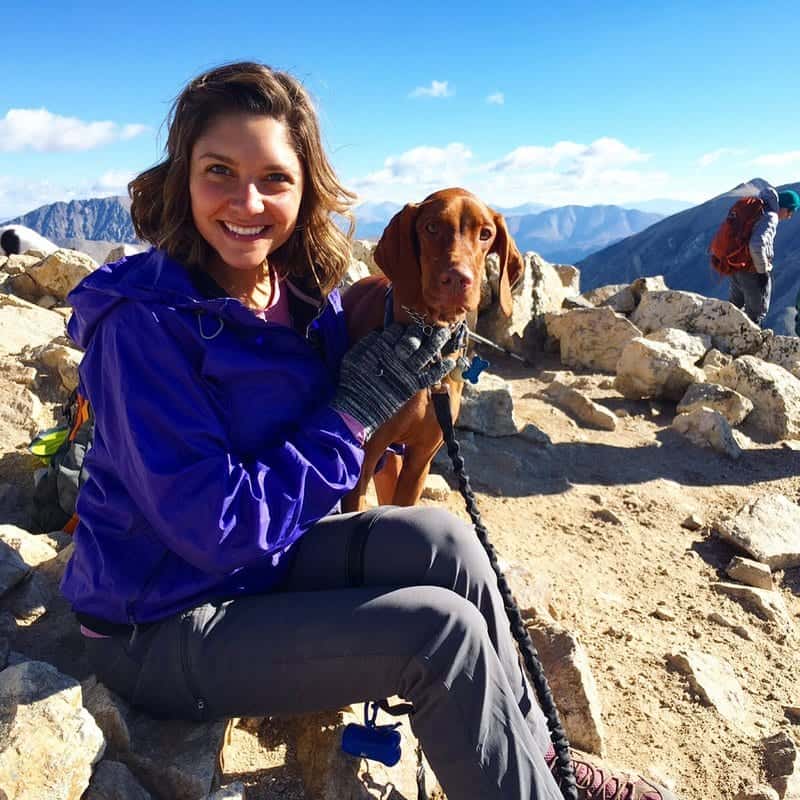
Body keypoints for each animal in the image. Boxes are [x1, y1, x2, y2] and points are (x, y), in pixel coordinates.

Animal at [340, 189, 520, 512]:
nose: (458, 279)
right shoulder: (364, 460)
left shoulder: (420, 460)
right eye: (432, 227)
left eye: (485, 234)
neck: (429, 339)